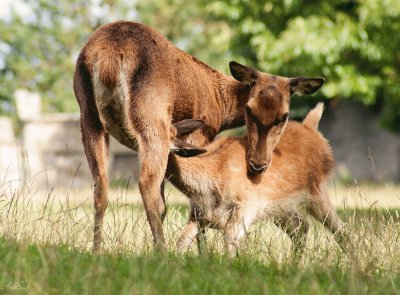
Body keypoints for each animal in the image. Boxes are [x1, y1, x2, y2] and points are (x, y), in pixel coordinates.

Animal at [72, 21, 324, 252]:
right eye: (249, 109)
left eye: (283, 116)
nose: (258, 165)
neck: (221, 108)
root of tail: (107, 57)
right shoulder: (202, 133)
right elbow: (196, 196)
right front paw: (202, 253)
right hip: (151, 115)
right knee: (148, 187)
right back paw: (161, 251)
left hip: (88, 114)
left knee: (101, 186)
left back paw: (97, 251)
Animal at [167, 104, 348, 260]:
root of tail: (311, 129)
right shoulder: (197, 215)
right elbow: (181, 242)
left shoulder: (247, 205)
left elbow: (229, 240)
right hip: (279, 206)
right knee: (301, 226)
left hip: (316, 190)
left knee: (340, 229)